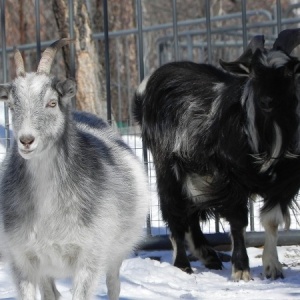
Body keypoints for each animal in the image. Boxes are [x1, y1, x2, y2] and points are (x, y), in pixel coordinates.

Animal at [0, 39, 149, 300]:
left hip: (116, 251)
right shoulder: (23, 258)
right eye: (11, 105)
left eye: (52, 102)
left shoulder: (89, 256)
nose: (26, 140)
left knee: (114, 284)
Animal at [135, 28, 300, 282]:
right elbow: (238, 221)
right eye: (254, 72)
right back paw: (183, 265)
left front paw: (273, 267)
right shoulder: (230, 178)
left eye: (289, 72)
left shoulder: (285, 183)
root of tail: (146, 87)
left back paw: (208, 255)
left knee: (190, 212)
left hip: (194, 173)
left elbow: (271, 221)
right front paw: (241, 269)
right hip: (167, 166)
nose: (267, 102)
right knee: (174, 211)